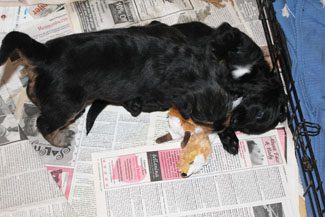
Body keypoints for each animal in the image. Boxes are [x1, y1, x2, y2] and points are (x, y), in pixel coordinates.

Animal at [0, 28, 235, 147]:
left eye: (229, 110)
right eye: (201, 120)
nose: (220, 128)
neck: (191, 68)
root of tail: (46, 53)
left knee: (33, 93)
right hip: (67, 103)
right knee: (44, 123)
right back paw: (60, 139)